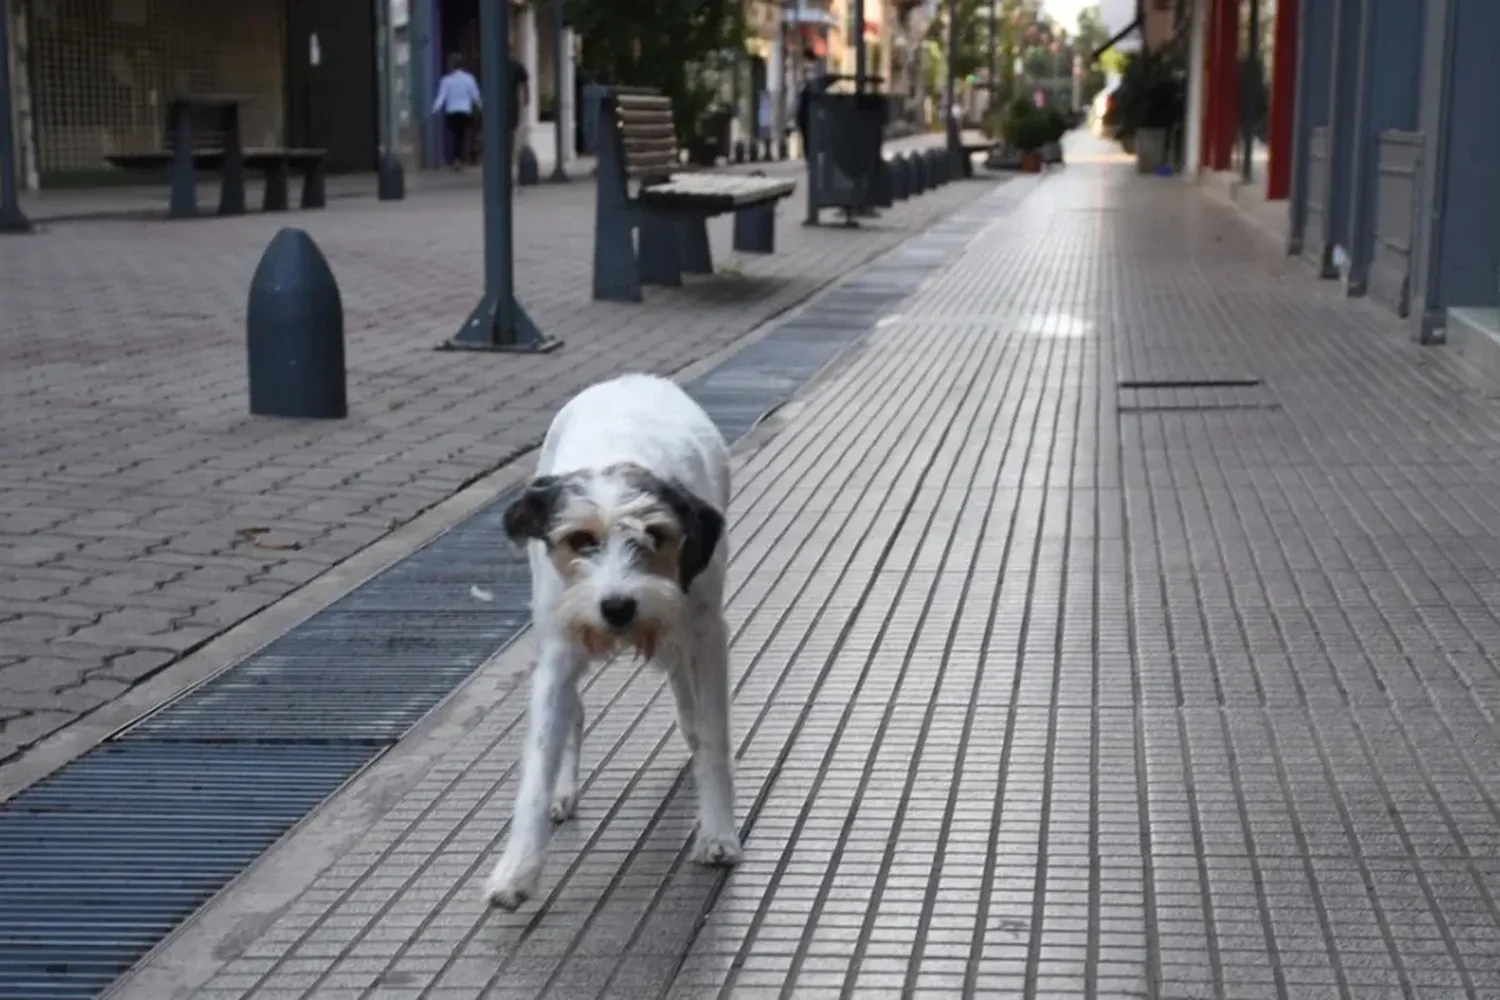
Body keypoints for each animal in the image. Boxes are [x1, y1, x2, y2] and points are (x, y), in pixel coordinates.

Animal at [483, 371, 741, 911]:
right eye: (580, 540)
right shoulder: (560, 647)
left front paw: (718, 832)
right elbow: (538, 760)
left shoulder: (707, 633)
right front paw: (517, 870)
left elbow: (713, 735)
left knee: (683, 687)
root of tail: (631, 380)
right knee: (577, 713)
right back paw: (565, 792)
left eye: (654, 535)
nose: (618, 607)